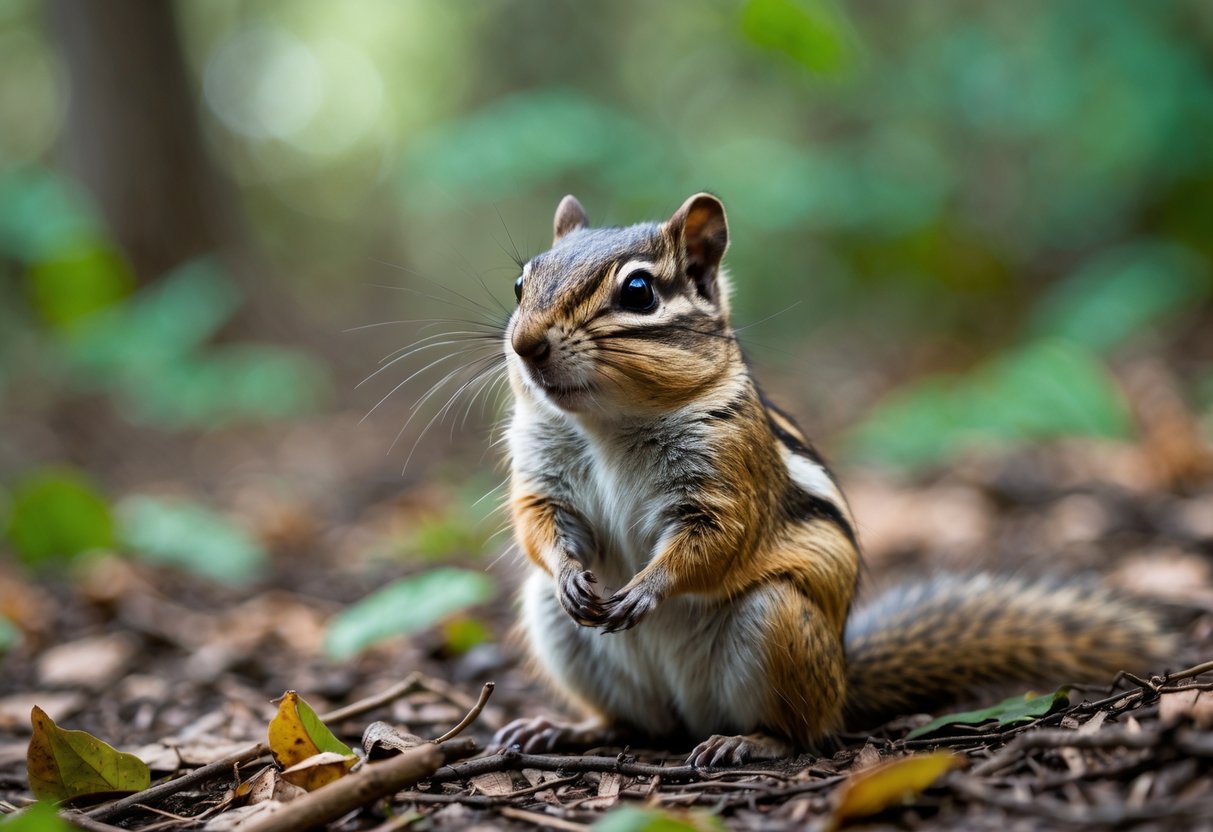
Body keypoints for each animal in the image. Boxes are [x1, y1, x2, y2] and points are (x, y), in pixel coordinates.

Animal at [490, 192, 1176, 766]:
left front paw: (647, 588)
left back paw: (750, 741)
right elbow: (537, 521)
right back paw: (568, 728)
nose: (525, 344)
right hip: (554, 624)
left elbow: (718, 541)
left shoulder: (728, 476)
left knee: (806, 732)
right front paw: (572, 572)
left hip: (778, 622)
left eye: (638, 292)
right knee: (634, 721)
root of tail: (843, 681)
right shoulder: (542, 471)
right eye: (521, 282)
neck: (609, 425)